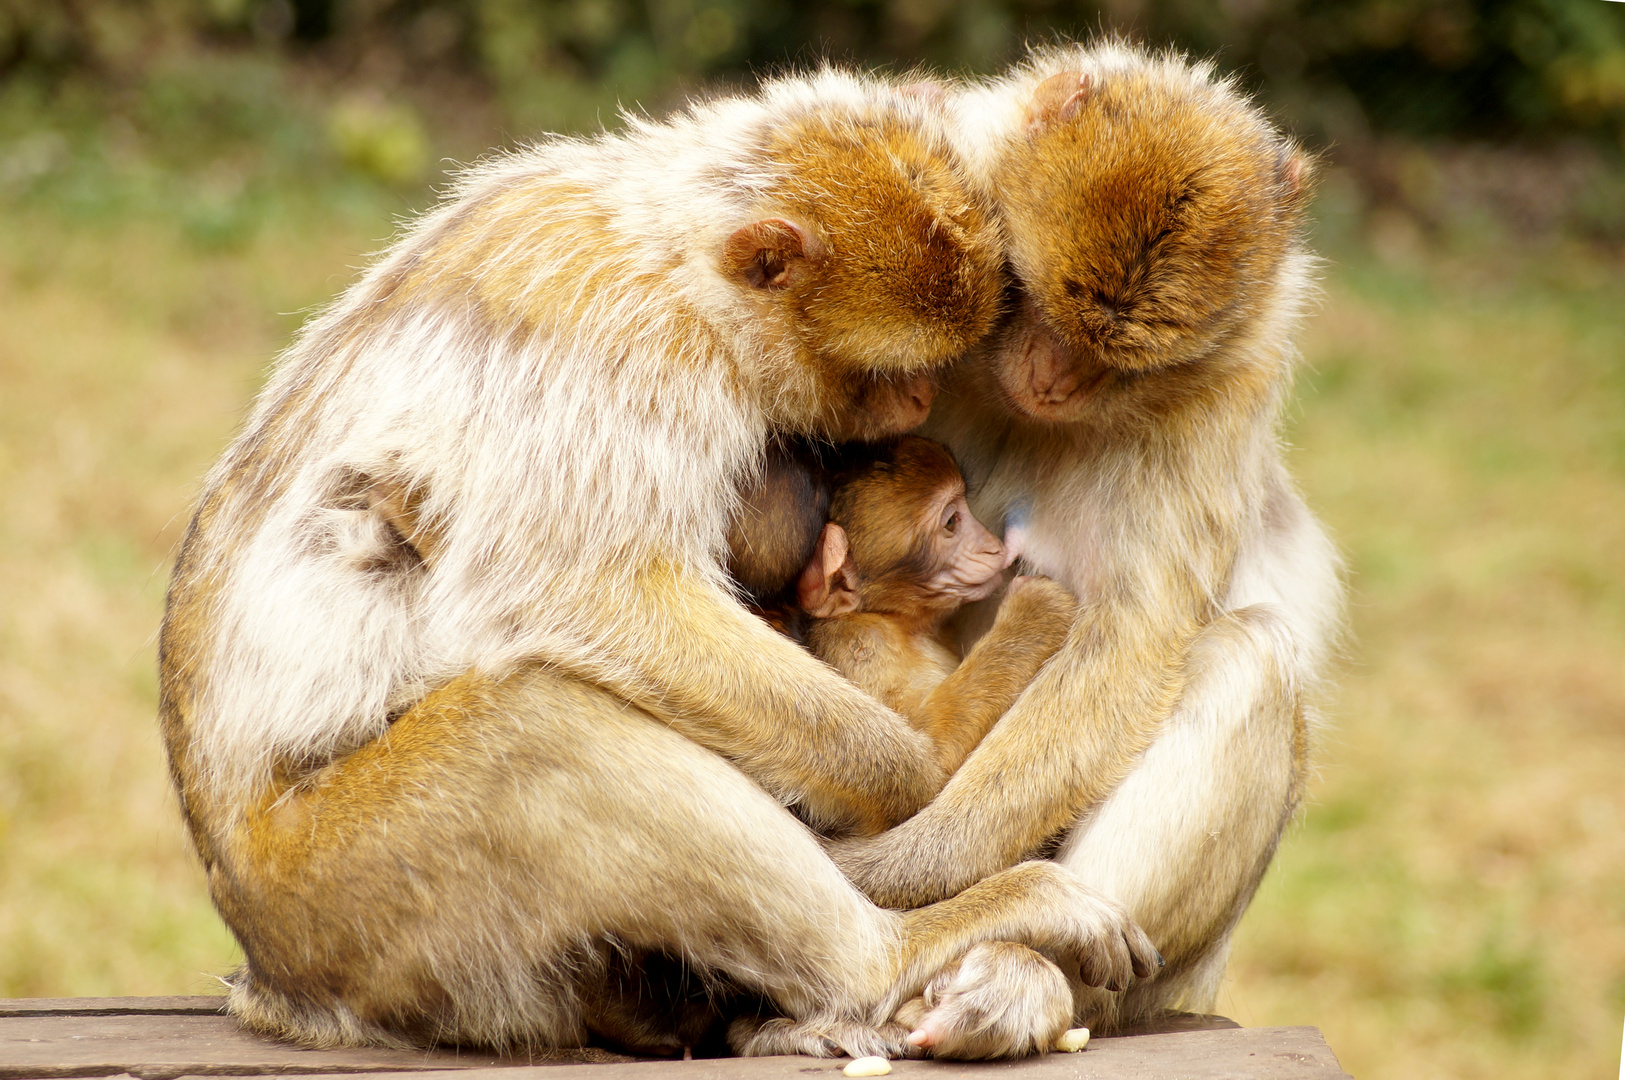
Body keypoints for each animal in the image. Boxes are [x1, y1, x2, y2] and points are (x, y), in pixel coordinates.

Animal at [158, 69, 1163, 1058]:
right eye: (882, 373)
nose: (920, 396)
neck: (678, 269)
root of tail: (269, 968)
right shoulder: (636, 349)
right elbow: (586, 590)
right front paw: (904, 771)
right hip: (336, 887)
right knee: (535, 723)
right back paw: (897, 950)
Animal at [825, 44, 1345, 1039]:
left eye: (1114, 359)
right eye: (1030, 302)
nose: (1054, 380)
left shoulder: (1224, 385)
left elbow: (1131, 641)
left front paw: (902, 869)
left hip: (1171, 970)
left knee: (1248, 656)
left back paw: (1024, 970)